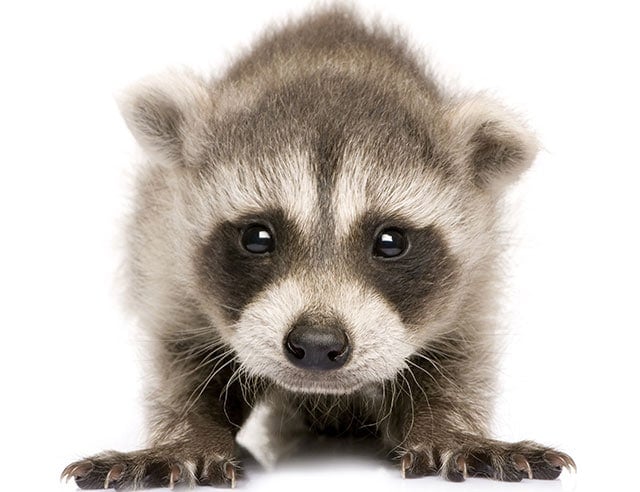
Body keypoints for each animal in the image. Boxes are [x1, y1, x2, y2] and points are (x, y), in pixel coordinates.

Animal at [62, 8, 575, 489]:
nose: (315, 343)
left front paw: (451, 429)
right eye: (257, 237)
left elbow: (461, 361)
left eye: (390, 241)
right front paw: (186, 437)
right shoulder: (166, 258)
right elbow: (179, 360)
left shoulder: (475, 280)